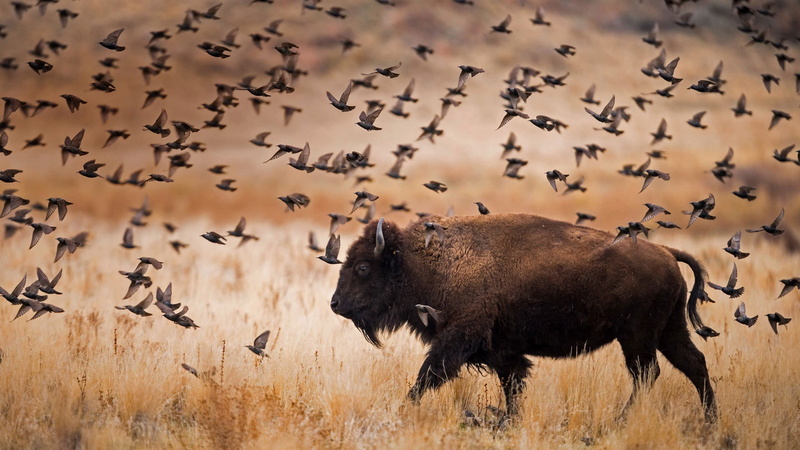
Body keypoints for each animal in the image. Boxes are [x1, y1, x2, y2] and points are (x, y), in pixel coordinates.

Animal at [330, 214, 717, 422]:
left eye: (363, 267)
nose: (336, 304)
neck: (424, 262)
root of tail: (666, 252)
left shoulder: (458, 337)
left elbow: (428, 374)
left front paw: (404, 408)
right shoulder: (503, 351)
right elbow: (512, 384)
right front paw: (509, 420)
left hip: (637, 336)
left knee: (647, 373)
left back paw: (622, 420)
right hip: (668, 331)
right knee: (694, 364)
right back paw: (710, 421)